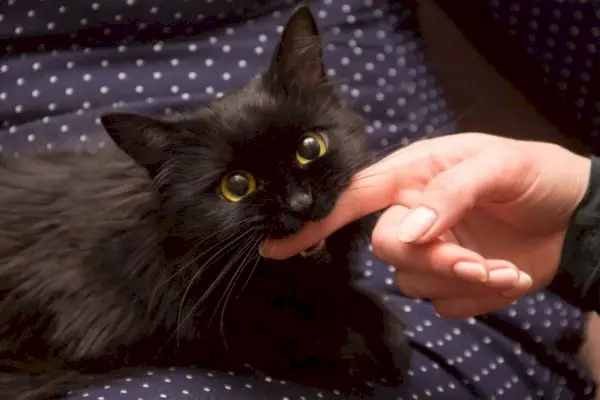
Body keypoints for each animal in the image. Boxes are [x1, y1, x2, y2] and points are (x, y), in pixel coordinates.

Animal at [0, 6, 410, 400]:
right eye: (237, 186)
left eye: (310, 147)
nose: (300, 202)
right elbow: (283, 343)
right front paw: (356, 355)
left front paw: (386, 338)